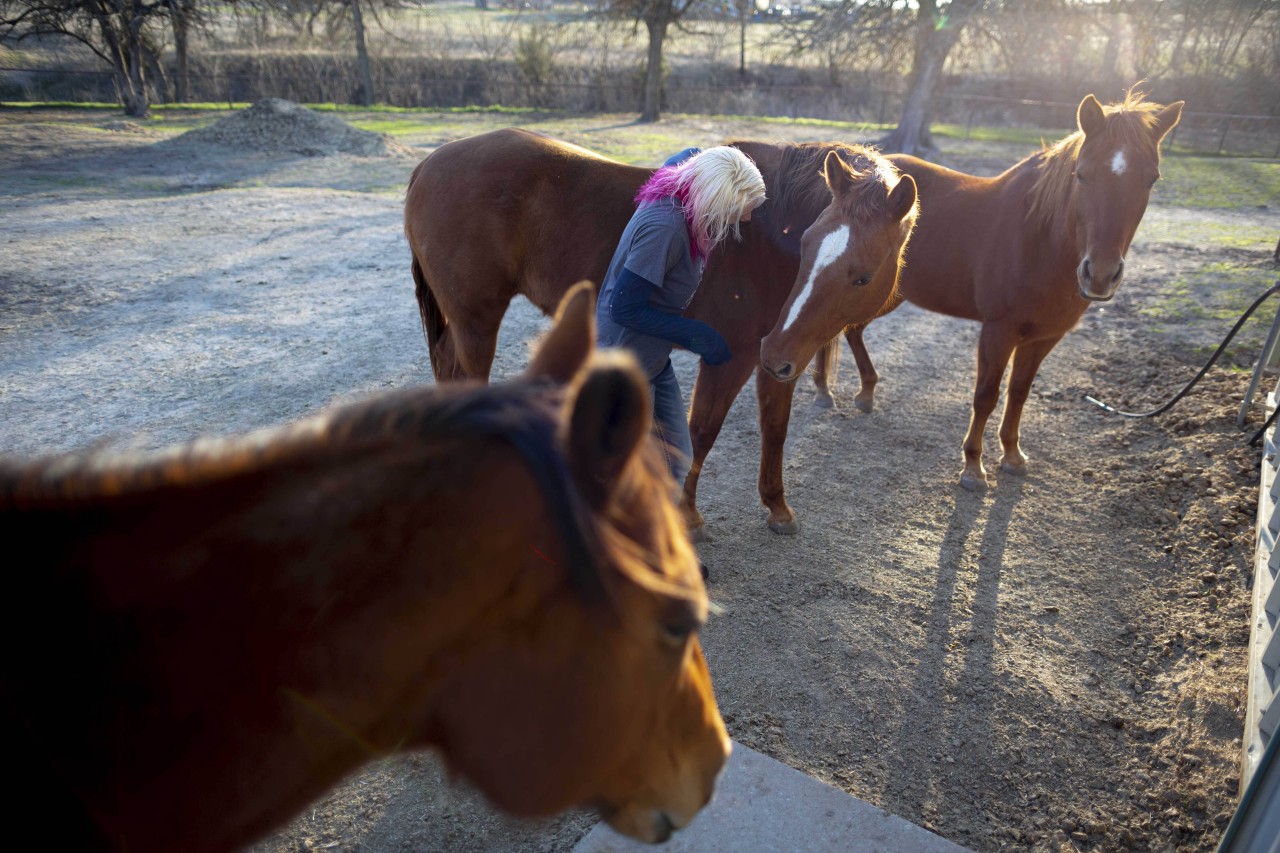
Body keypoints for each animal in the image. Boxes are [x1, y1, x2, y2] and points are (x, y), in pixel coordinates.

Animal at [404, 129, 916, 532]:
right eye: (806, 244)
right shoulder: (735, 355)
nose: (774, 351)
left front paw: (777, 506)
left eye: (861, 276)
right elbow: (701, 430)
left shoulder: (784, 355)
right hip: (477, 321)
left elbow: (775, 426)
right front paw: (687, 514)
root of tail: (428, 164)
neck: (763, 236)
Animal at [814, 89, 1182, 489]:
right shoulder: (998, 330)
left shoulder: (1044, 337)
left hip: (886, 293)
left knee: (851, 330)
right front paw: (973, 468)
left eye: (1151, 179)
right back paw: (826, 391)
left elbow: (1018, 393)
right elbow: (986, 396)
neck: (1039, 240)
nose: (1099, 275)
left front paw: (1013, 455)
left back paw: (863, 393)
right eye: (1082, 175)